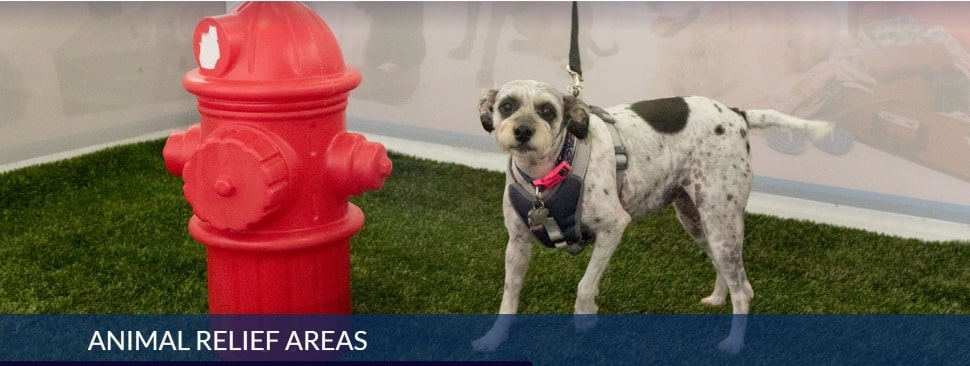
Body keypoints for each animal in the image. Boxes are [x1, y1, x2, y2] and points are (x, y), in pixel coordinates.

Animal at [470, 79, 832, 352]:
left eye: (547, 110)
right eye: (507, 106)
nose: (522, 131)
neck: (546, 176)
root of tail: (737, 113)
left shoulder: (614, 228)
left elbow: (585, 285)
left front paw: (585, 317)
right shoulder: (517, 244)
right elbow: (509, 297)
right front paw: (494, 338)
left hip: (720, 220)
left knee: (744, 289)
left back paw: (733, 344)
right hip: (697, 220)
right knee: (728, 273)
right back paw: (717, 299)